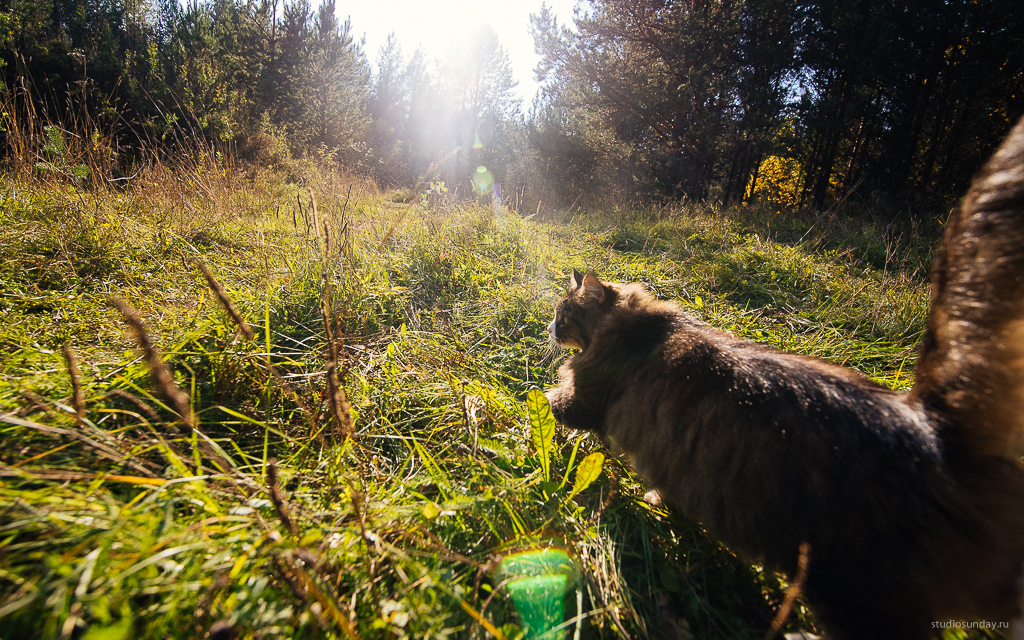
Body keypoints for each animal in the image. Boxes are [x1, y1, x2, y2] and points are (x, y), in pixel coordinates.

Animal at [548, 116, 1024, 638]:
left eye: (562, 314)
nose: (548, 328)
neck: (637, 327)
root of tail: (930, 432)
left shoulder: (584, 397)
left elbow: (551, 398)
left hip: (852, 591)